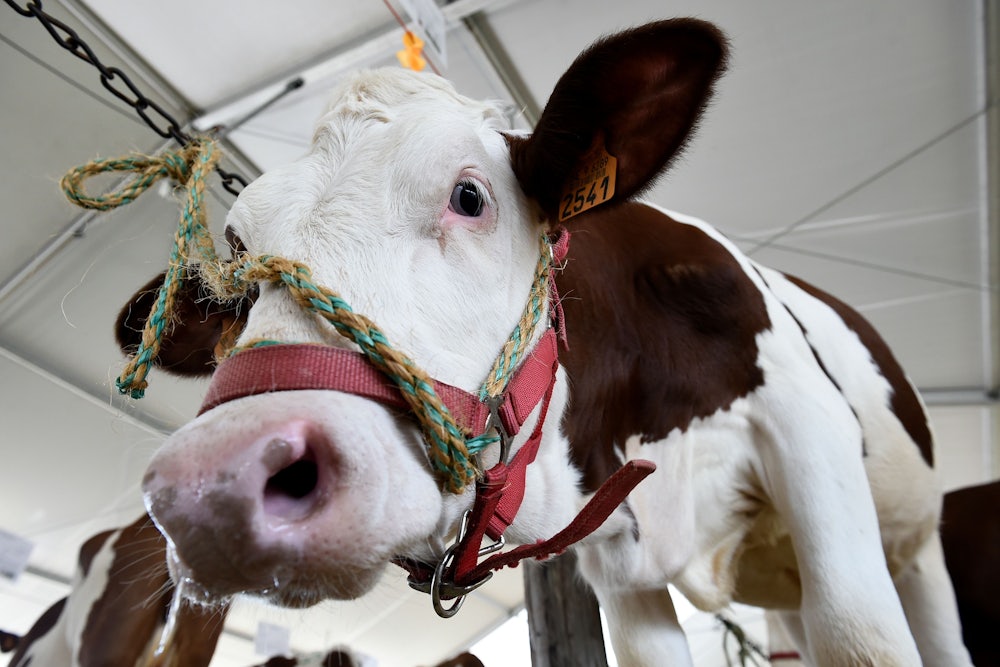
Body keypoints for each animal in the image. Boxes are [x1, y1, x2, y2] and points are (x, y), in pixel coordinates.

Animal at [112, 18, 973, 667]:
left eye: (469, 196)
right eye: (237, 262)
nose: (213, 486)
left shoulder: (808, 431)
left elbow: (865, 642)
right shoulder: (622, 564)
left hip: (919, 547)